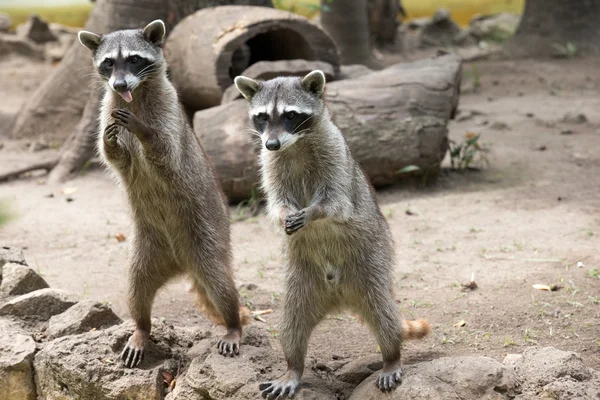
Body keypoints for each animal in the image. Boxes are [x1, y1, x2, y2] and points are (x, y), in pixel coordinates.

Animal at [78, 20, 247, 368]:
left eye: (134, 59)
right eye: (108, 63)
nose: (119, 84)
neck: (135, 94)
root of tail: (181, 264)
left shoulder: (169, 114)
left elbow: (166, 153)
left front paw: (143, 131)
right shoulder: (107, 109)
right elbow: (115, 157)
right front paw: (112, 143)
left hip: (209, 238)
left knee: (222, 285)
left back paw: (233, 324)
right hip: (146, 251)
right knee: (137, 290)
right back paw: (141, 328)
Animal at [236, 70, 432, 398]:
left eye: (291, 115)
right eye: (262, 117)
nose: (272, 143)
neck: (294, 145)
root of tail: (339, 298)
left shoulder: (336, 156)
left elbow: (337, 203)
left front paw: (314, 212)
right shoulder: (269, 164)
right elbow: (276, 203)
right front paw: (284, 214)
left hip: (371, 263)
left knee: (384, 314)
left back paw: (391, 356)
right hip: (300, 284)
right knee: (291, 326)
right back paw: (293, 367)